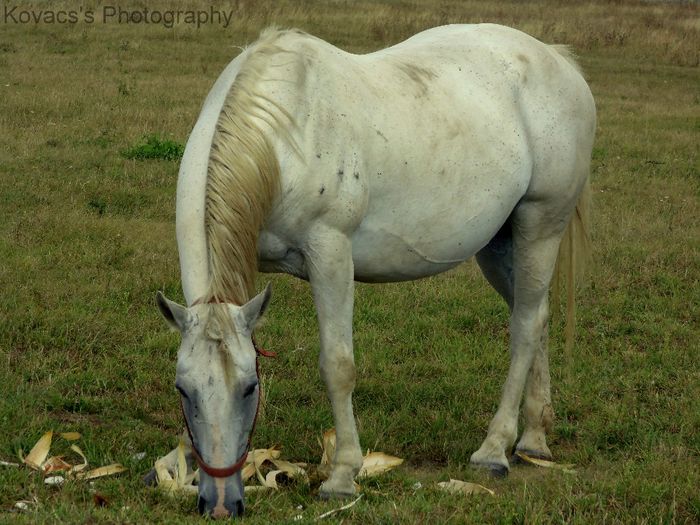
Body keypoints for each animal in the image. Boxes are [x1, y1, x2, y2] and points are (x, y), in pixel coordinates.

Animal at [156, 24, 592, 516]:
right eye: (183, 390)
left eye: (250, 387)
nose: (221, 504)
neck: (283, 138)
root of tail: (557, 59)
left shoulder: (330, 254)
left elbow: (338, 365)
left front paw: (343, 475)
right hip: (501, 245)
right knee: (536, 317)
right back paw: (534, 438)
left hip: (540, 227)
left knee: (523, 330)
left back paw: (495, 449)